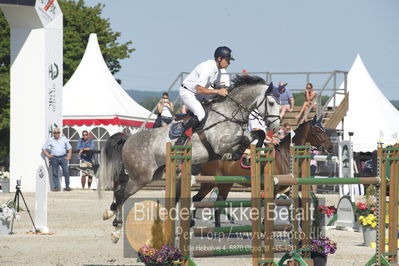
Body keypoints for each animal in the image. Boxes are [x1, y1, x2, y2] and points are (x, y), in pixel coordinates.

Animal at [97, 75, 282, 243]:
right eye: (272, 103)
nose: (276, 127)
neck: (229, 113)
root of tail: (128, 139)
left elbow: (258, 134)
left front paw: (254, 149)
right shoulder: (219, 144)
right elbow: (243, 140)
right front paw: (235, 155)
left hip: (154, 175)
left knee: (119, 191)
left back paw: (109, 213)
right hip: (141, 177)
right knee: (121, 193)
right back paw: (115, 229)